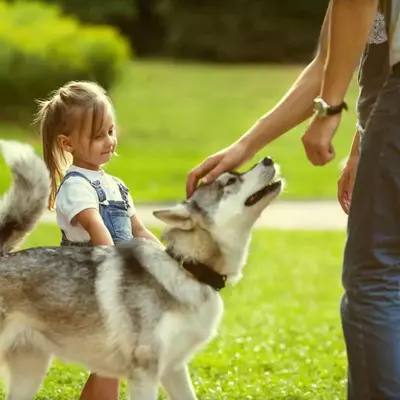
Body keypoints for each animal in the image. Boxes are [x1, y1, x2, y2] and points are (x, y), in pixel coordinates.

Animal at [0, 139, 282, 398]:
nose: (268, 159)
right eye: (230, 182)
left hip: (31, 371)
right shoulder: (145, 372)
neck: (186, 268)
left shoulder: (174, 369)